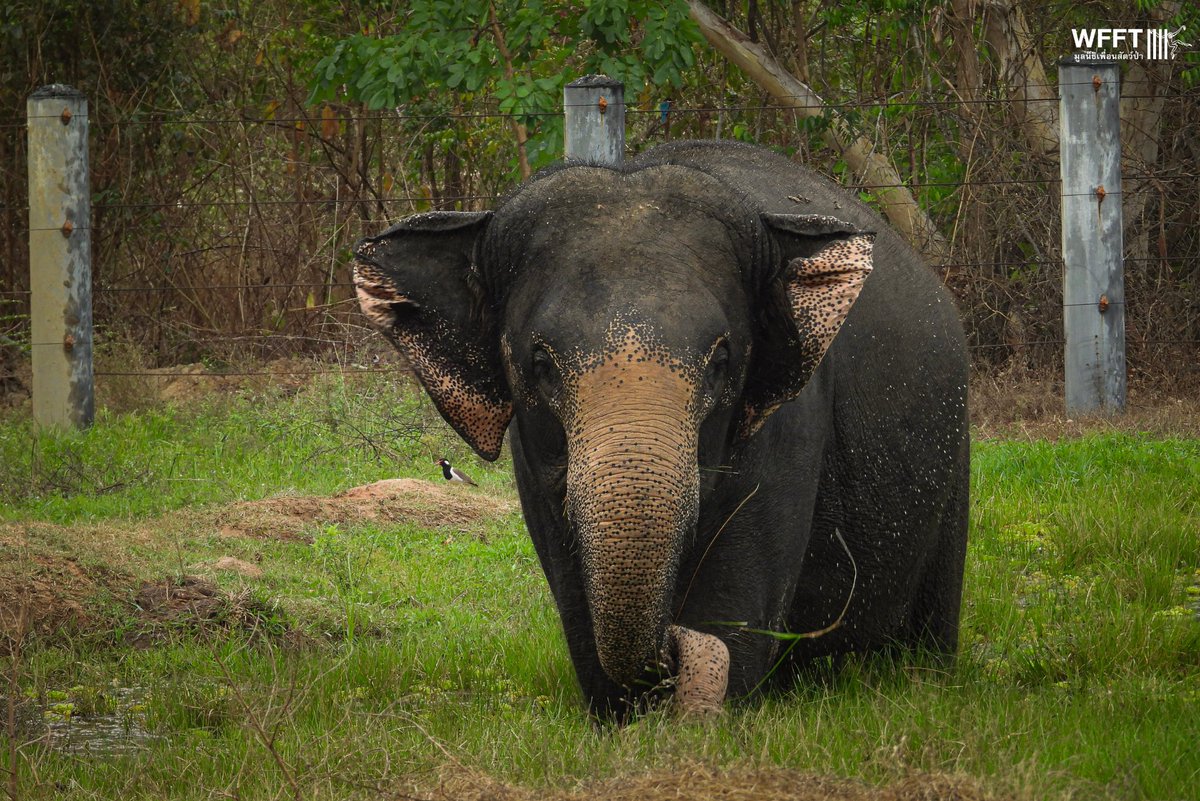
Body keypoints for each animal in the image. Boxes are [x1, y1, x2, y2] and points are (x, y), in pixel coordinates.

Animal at [352, 141, 969, 719]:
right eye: (541, 363)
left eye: (721, 360)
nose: (673, 645)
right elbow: (570, 577)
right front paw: (622, 721)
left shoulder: (792, 422)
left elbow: (738, 583)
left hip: (954, 447)